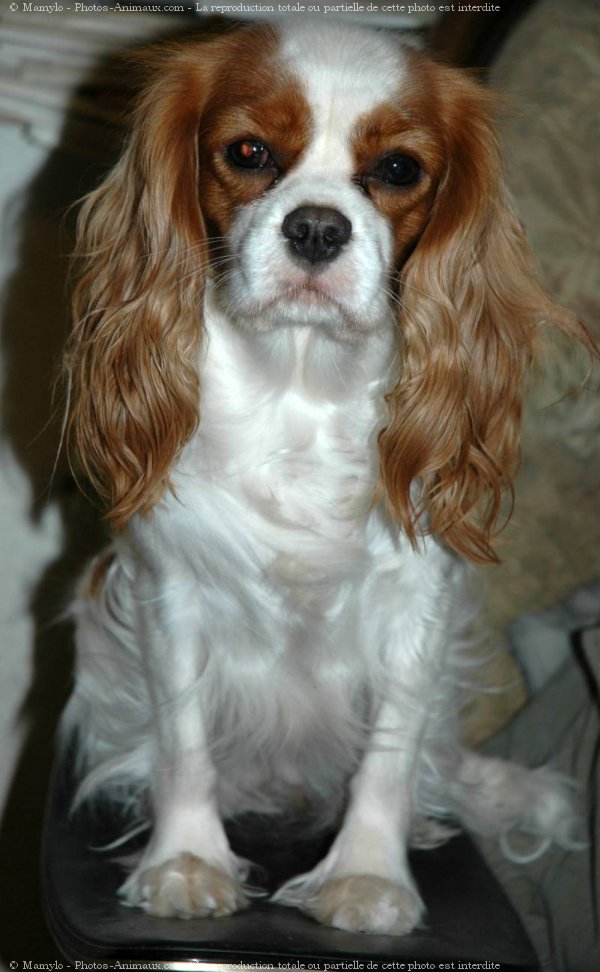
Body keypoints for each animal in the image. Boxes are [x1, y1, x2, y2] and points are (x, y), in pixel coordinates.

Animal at [61, 20, 584, 936]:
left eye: (399, 169)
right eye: (249, 151)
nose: (314, 228)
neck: (301, 382)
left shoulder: (419, 604)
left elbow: (390, 752)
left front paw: (367, 876)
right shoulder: (169, 589)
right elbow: (184, 738)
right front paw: (186, 862)